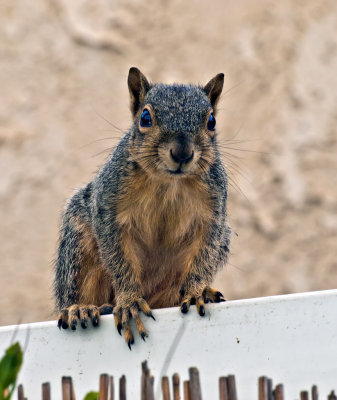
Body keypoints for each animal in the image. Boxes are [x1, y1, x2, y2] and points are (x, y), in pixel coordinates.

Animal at [54, 68, 231, 346]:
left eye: (211, 121)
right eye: (145, 118)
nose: (182, 153)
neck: (168, 182)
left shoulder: (213, 214)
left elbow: (204, 255)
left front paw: (195, 291)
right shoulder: (108, 209)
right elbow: (118, 259)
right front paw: (129, 302)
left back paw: (204, 292)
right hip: (78, 245)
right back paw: (81, 309)